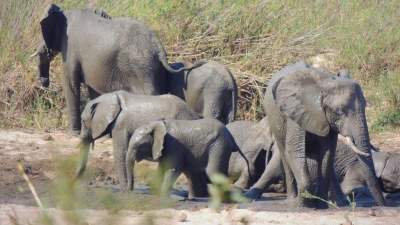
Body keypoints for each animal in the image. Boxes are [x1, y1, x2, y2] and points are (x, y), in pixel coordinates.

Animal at [29, 4, 202, 134]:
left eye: (42, 32)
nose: (44, 83)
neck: (65, 12)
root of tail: (159, 48)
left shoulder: (70, 47)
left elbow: (70, 82)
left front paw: (72, 134)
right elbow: (94, 90)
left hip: (140, 68)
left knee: (151, 93)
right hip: (156, 69)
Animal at [126, 118, 256, 198]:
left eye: (137, 146)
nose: (129, 191)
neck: (156, 124)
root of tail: (231, 137)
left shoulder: (173, 144)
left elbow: (174, 169)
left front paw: (162, 196)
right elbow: (162, 168)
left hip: (219, 146)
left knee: (213, 172)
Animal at [264, 60, 386, 209]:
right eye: (339, 110)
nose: (383, 205)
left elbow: (327, 153)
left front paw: (320, 204)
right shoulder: (295, 111)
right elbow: (294, 151)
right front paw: (304, 206)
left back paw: (340, 203)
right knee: (284, 155)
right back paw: (291, 202)